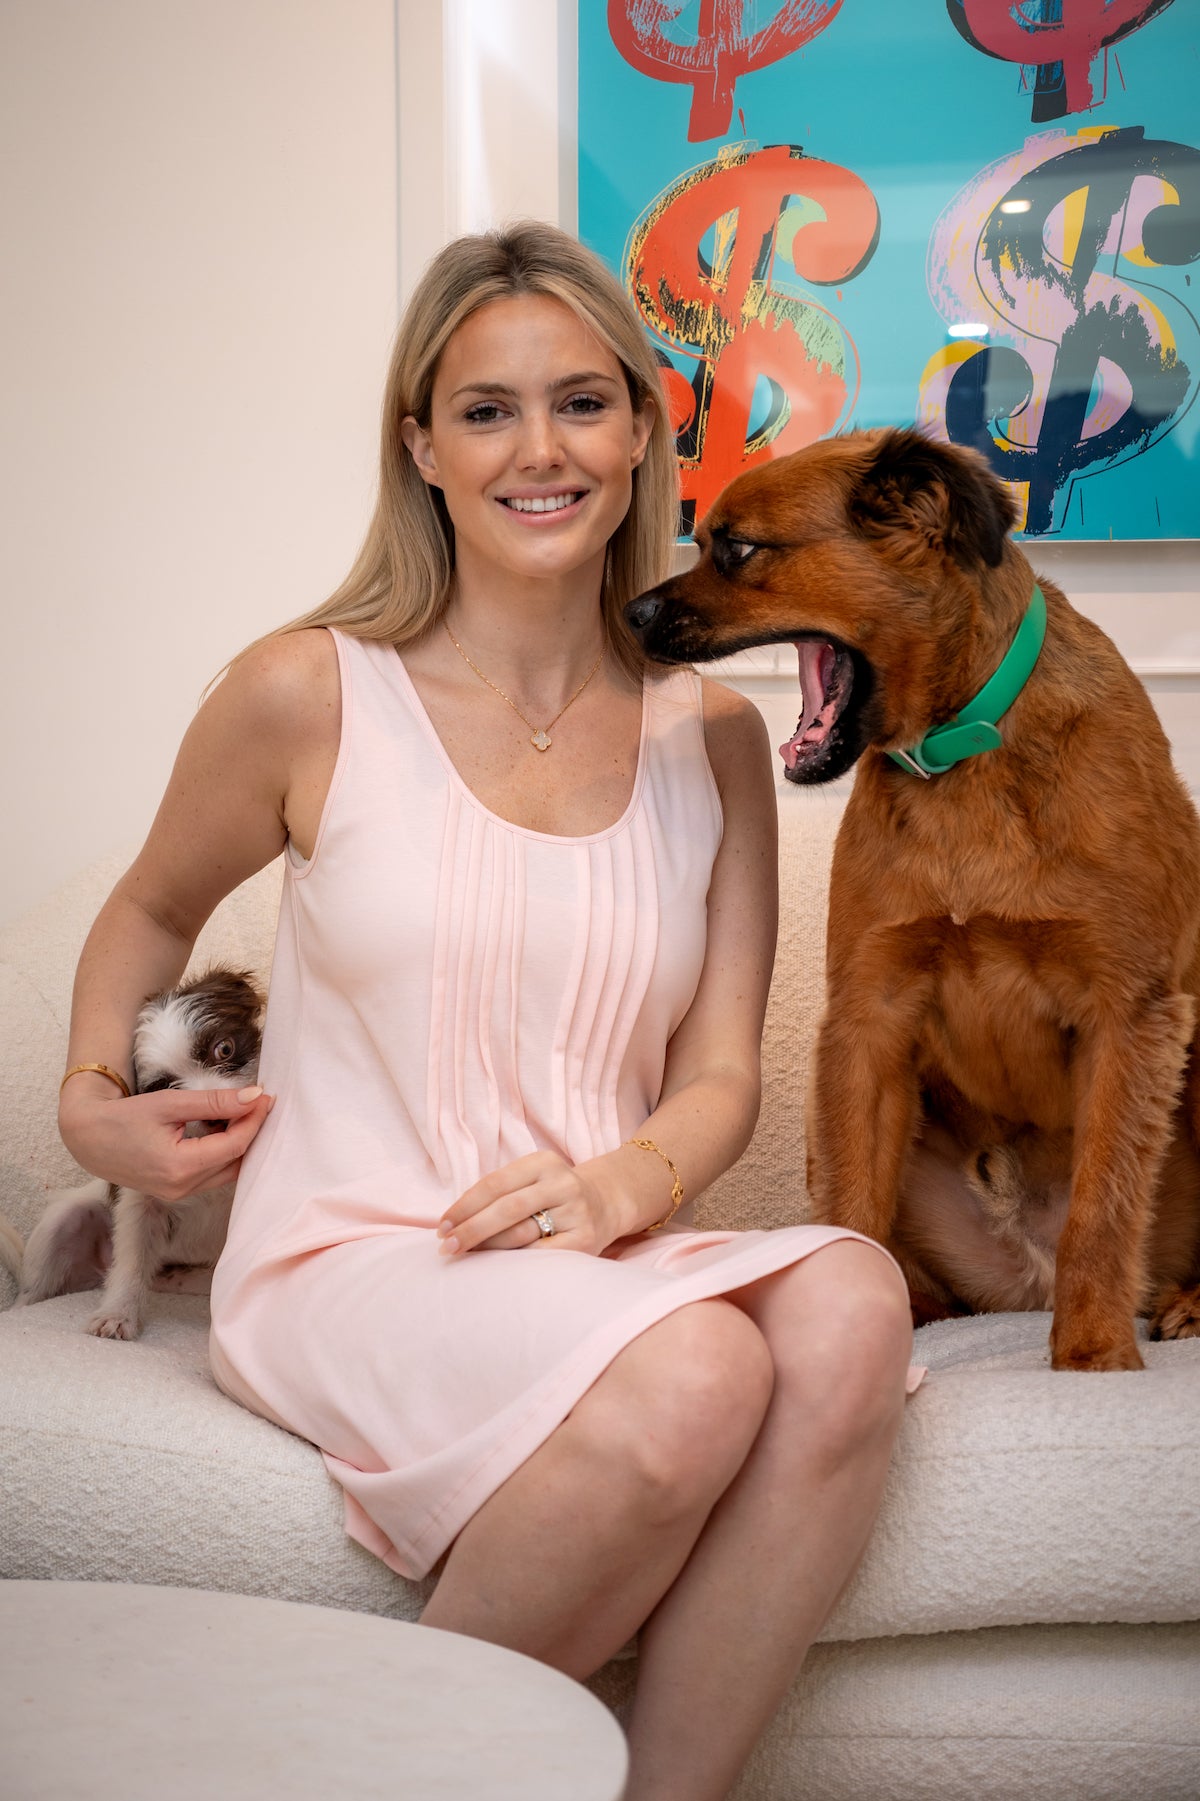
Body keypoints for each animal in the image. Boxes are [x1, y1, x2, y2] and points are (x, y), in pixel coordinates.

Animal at [15, 968, 265, 1339]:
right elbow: (132, 1262)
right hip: (63, 1223)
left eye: (224, 1048)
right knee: (32, 1291)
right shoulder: (140, 1197)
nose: (216, 1117)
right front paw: (117, 1313)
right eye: (163, 1089)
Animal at [626, 426, 1200, 1372]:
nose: (630, 614)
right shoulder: (868, 1017)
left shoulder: (1131, 1017)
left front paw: (1093, 1353)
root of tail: (1023, 1277)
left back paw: (1184, 1299)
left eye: (737, 549)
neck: (961, 753)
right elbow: (852, 1210)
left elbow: (1103, 1207)